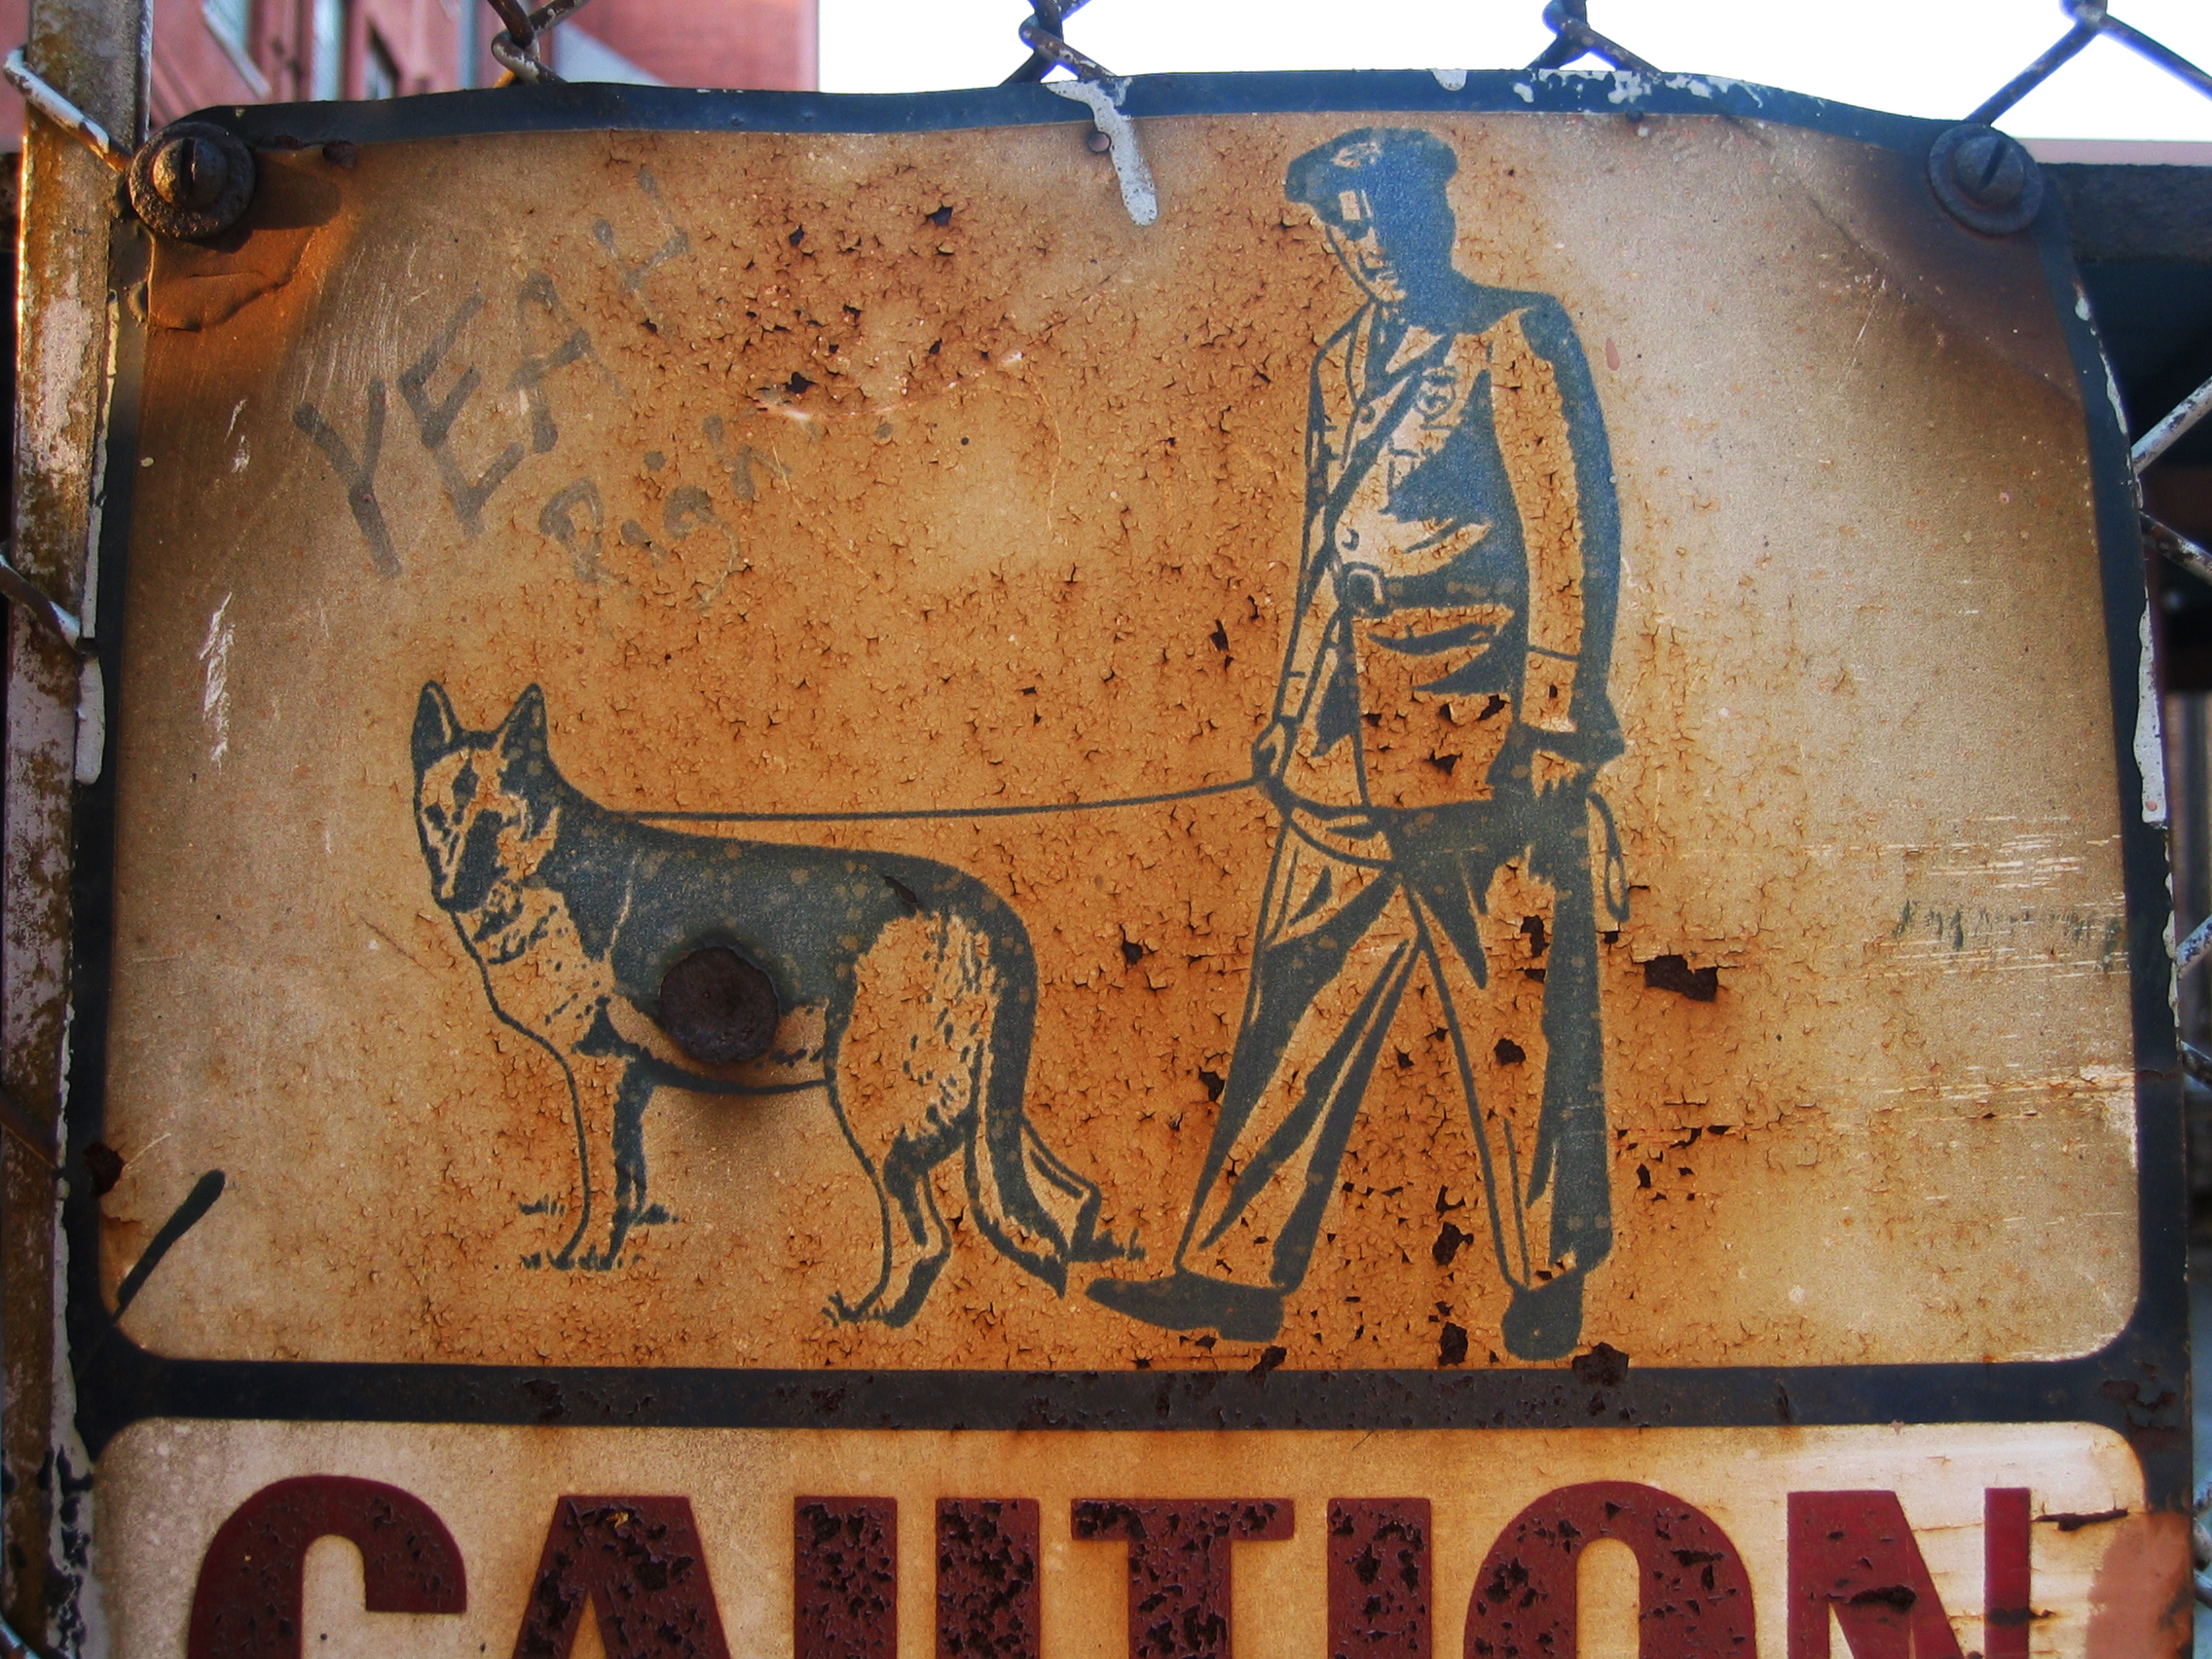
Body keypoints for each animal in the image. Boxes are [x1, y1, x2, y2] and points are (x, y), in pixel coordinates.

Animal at [411, 682, 1125, 1326]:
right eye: (439, 816)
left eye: (496, 819)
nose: (451, 891)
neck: (557, 871)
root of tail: (983, 905)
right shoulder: (631, 1079)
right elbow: (631, 1185)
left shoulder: (598, 1070)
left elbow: (604, 1186)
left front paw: (585, 1261)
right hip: (983, 1111)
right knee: (1067, 1197)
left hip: (875, 1109)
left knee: (928, 1238)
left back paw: (874, 1314)